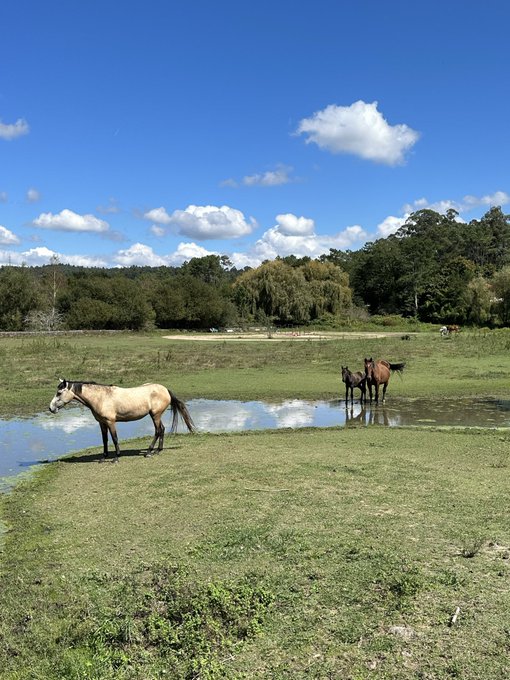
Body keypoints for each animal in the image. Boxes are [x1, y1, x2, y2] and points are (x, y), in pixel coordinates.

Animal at [49, 379, 195, 461]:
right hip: (156, 415)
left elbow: (114, 438)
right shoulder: (102, 423)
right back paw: (158, 450)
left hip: (155, 415)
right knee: (162, 430)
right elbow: (105, 440)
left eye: (59, 393)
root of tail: (165, 389)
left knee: (158, 431)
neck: (101, 397)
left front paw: (116, 457)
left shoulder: (110, 422)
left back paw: (149, 452)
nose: (51, 408)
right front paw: (104, 457)